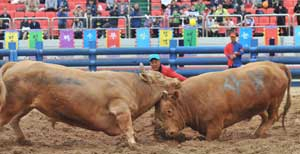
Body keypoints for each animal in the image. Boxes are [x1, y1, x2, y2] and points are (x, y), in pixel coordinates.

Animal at [0, 59, 180, 146]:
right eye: (160, 77)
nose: (177, 81)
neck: (133, 86)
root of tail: (16, 63)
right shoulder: (120, 108)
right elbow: (128, 127)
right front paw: (132, 144)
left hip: (25, 106)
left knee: (14, 121)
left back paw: (23, 140)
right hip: (12, 104)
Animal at [159, 61, 290, 141]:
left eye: (169, 111)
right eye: (161, 114)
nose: (168, 133)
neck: (191, 99)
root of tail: (276, 65)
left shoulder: (215, 126)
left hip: (274, 102)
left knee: (273, 117)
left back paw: (260, 132)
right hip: (260, 105)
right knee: (265, 117)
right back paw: (258, 132)